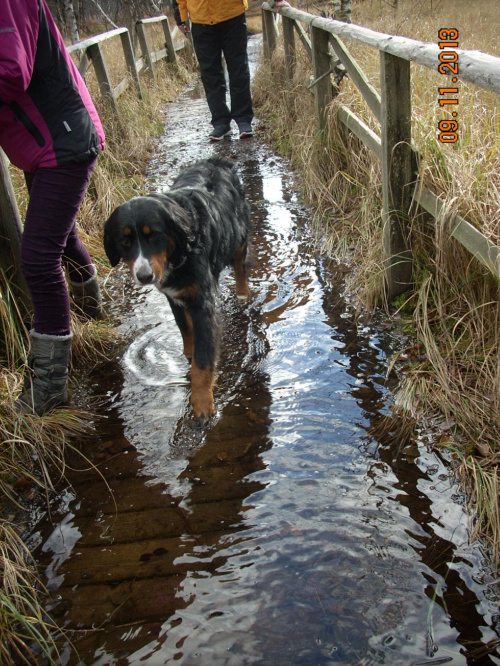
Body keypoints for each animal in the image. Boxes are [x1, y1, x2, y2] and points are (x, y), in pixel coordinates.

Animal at [103, 156, 250, 420]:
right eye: (124, 240)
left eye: (154, 236)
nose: (144, 276)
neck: (181, 250)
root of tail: (215, 161)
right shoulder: (173, 296)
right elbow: (184, 328)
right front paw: (188, 353)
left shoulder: (202, 302)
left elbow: (203, 361)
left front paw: (202, 403)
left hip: (239, 234)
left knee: (239, 263)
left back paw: (243, 292)